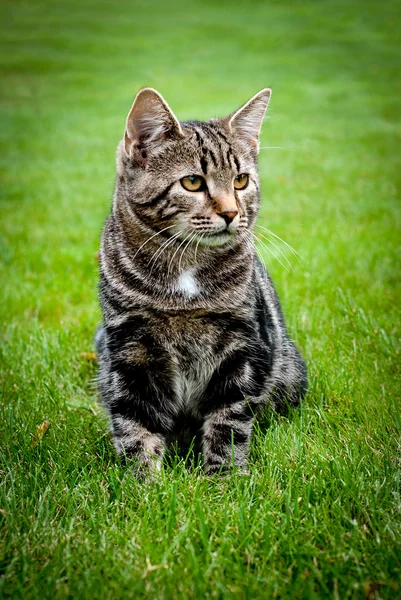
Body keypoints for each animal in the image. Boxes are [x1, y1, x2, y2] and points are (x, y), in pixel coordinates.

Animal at [96, 86, 306, 476]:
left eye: (241, 180)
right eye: (192, 182)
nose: (231, 213)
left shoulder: (239, 347)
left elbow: (228, 421)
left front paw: (224, 478)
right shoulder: (131, 349)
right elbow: (135, 424)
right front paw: (142, 483)